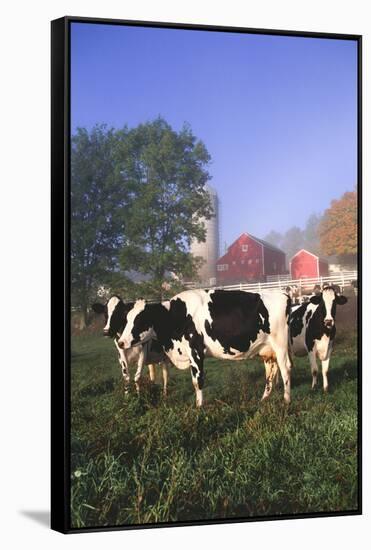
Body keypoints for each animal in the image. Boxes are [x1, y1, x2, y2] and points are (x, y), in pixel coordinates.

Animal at [117, 292, 292, 408]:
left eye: (139, 320)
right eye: (126, 319)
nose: (120, 342)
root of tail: (282, 294)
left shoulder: (195, 351)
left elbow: (198, 381)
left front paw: (199, 407)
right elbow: (194, 381)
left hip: (280, 345)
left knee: (285, 369)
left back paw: (287, 400)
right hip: (268, 350)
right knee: (271, 372)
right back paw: (264, 399)